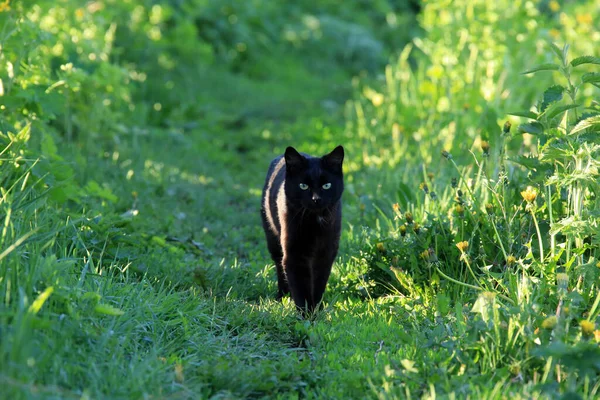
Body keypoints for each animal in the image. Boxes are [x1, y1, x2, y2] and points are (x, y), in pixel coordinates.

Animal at [260, 145, 344, 314]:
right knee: (279, 266)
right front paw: (306, 314)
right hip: (272, 237)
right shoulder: (295, 253)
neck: (314, 222)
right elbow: (300, 286)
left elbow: (318, 283)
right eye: (303, 186)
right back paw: (282, 296)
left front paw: (316, 310)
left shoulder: (326, 253)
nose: (316, 199)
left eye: (327, 185)